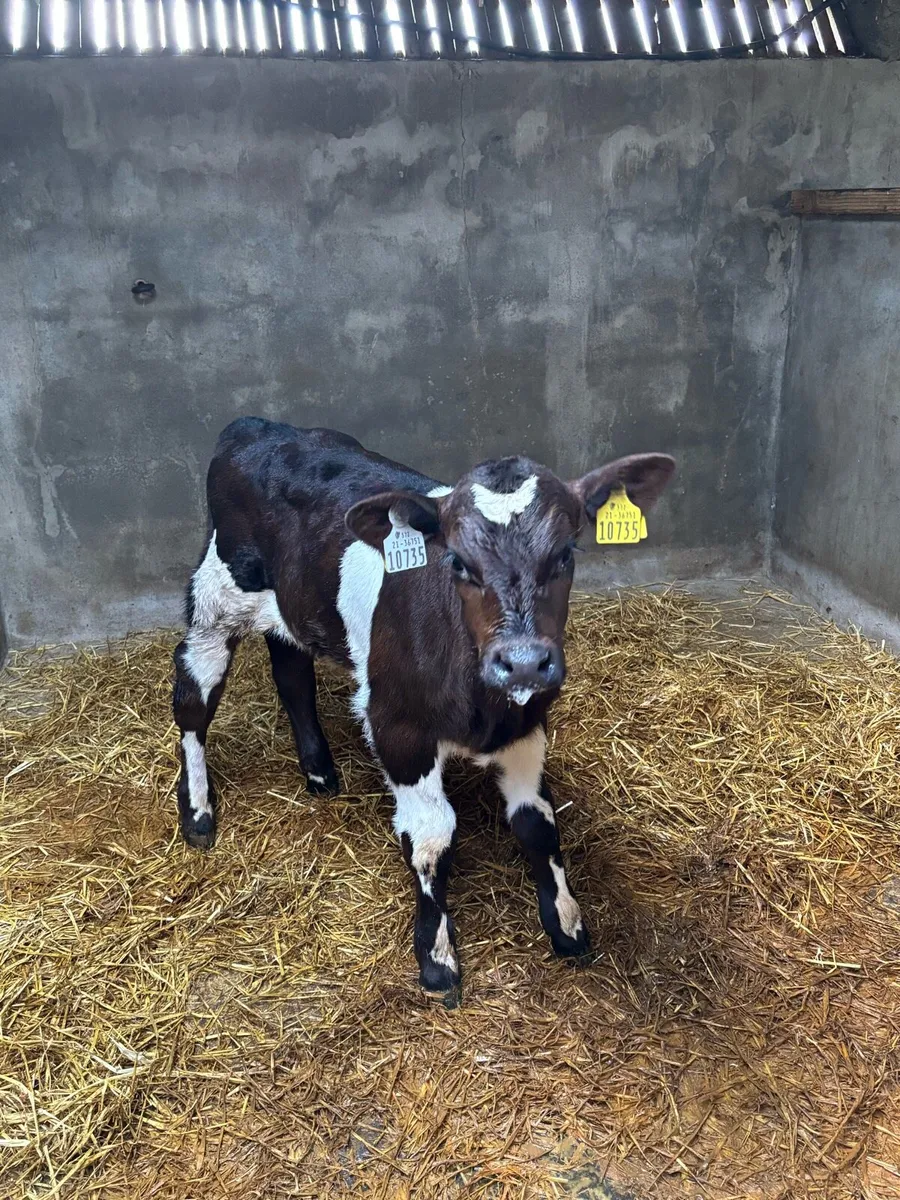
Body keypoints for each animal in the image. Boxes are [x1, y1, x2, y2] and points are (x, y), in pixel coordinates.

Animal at [172, 418, 675, 1002]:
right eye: (457, 561)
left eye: (567, 553)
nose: (524, 662)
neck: (483, 709)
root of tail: (256, 426)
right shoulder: (398, 726)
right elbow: (433, 835)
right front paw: (436, 960)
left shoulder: (526, 725)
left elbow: (538, 823)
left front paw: (567, 925)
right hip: (217, 600)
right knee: (192, 702)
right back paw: (198, 811)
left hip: (292, 607)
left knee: (292, 674)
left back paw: (319, 772)